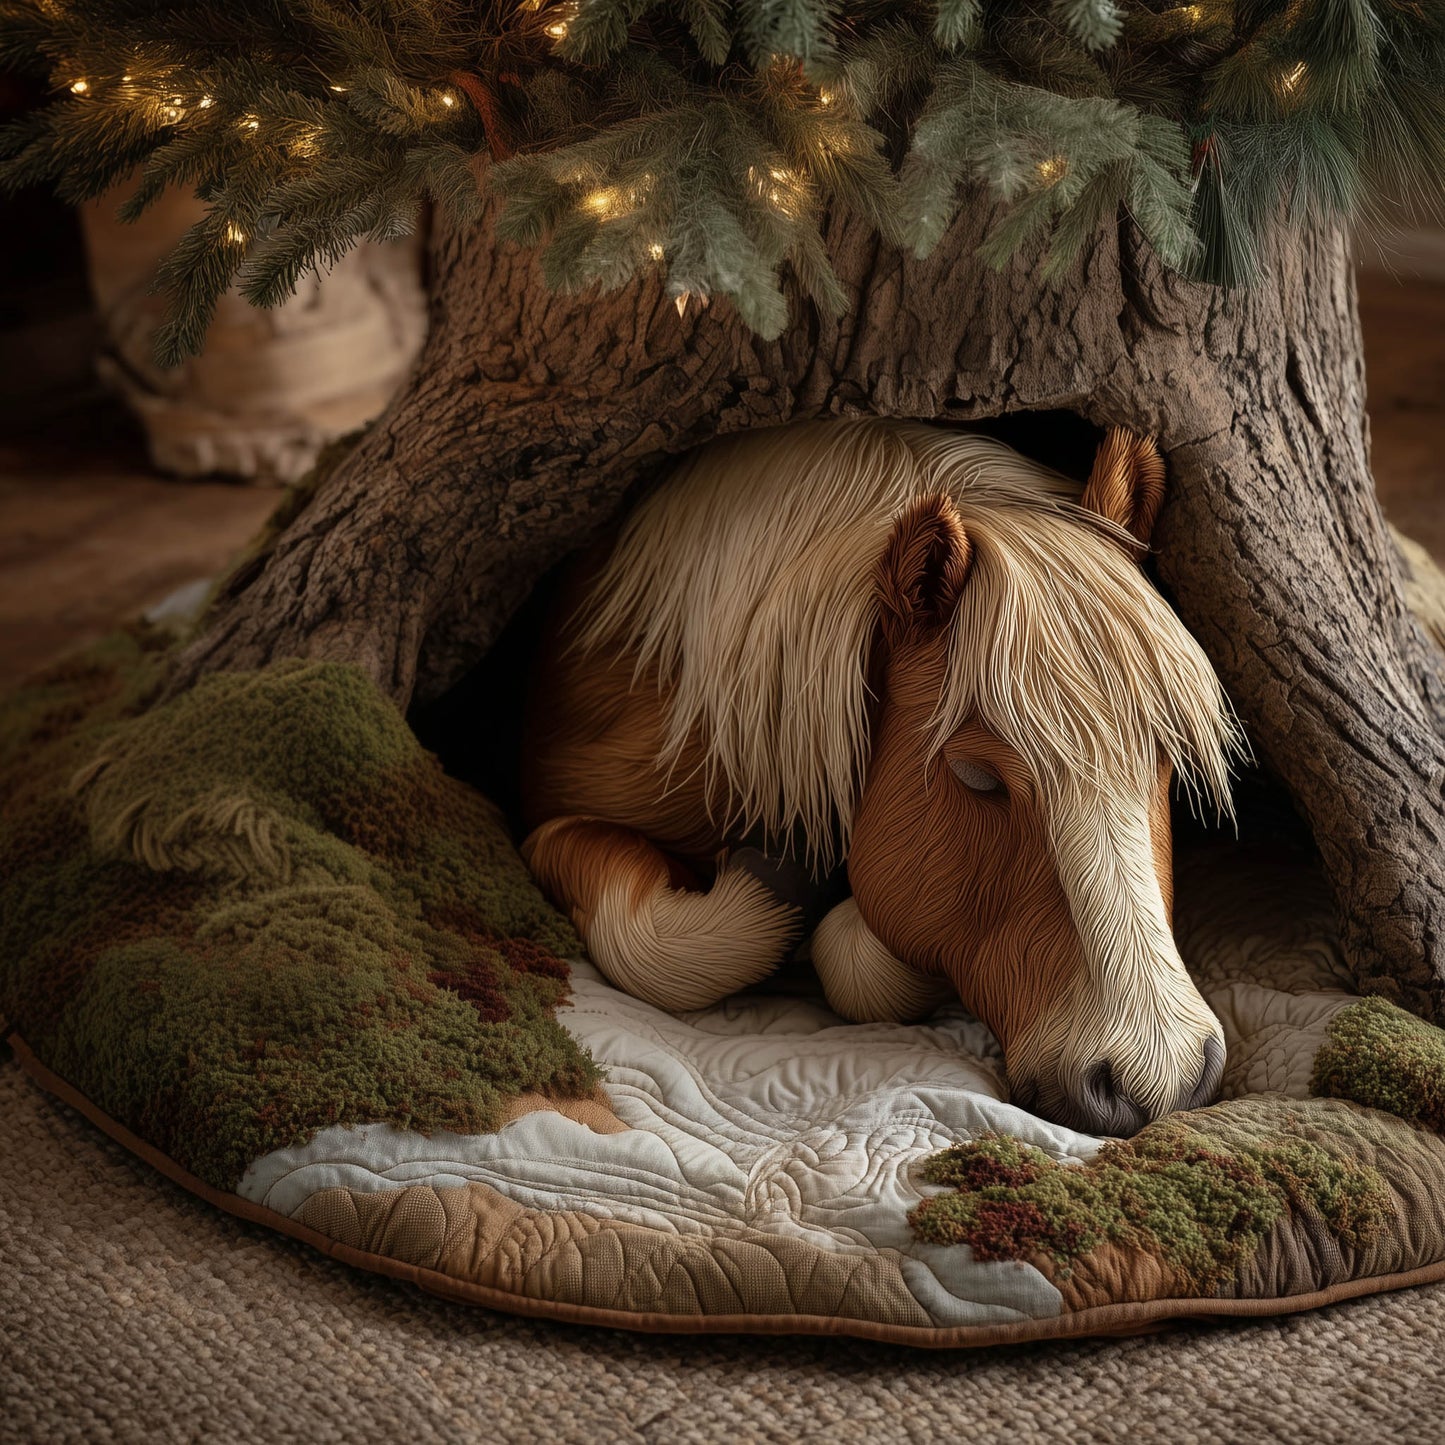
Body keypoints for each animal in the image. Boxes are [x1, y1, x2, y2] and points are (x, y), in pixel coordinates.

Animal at [518, 418, 1243, 1136]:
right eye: (976, 775)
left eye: (1166, 753)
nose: (1163, 1075)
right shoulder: (551, 825)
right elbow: (651, 950)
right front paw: (779, 877)